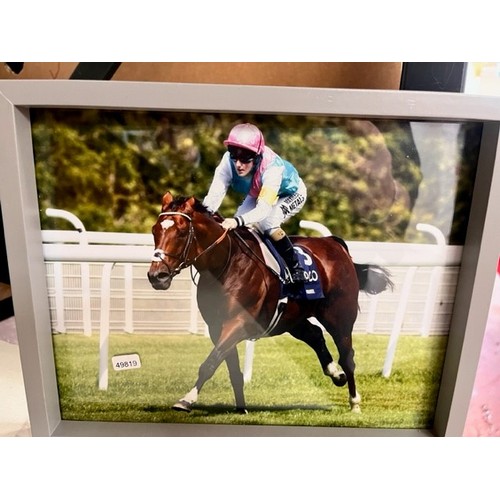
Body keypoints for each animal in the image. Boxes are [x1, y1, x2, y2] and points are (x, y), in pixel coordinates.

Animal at [146, 191, 392, 414]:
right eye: (155, 230)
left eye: (180, 232)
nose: (157, 276)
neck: (227, 263)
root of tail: (335, 244)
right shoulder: (217, 326)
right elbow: (230, 368)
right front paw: (241, 409)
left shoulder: (237, 323)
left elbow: (210, 363)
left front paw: (186, 400)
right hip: (293, 318)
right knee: (315, 335)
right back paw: (335, 373)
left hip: (339, 316)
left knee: (347, 355)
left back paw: (354, 402)